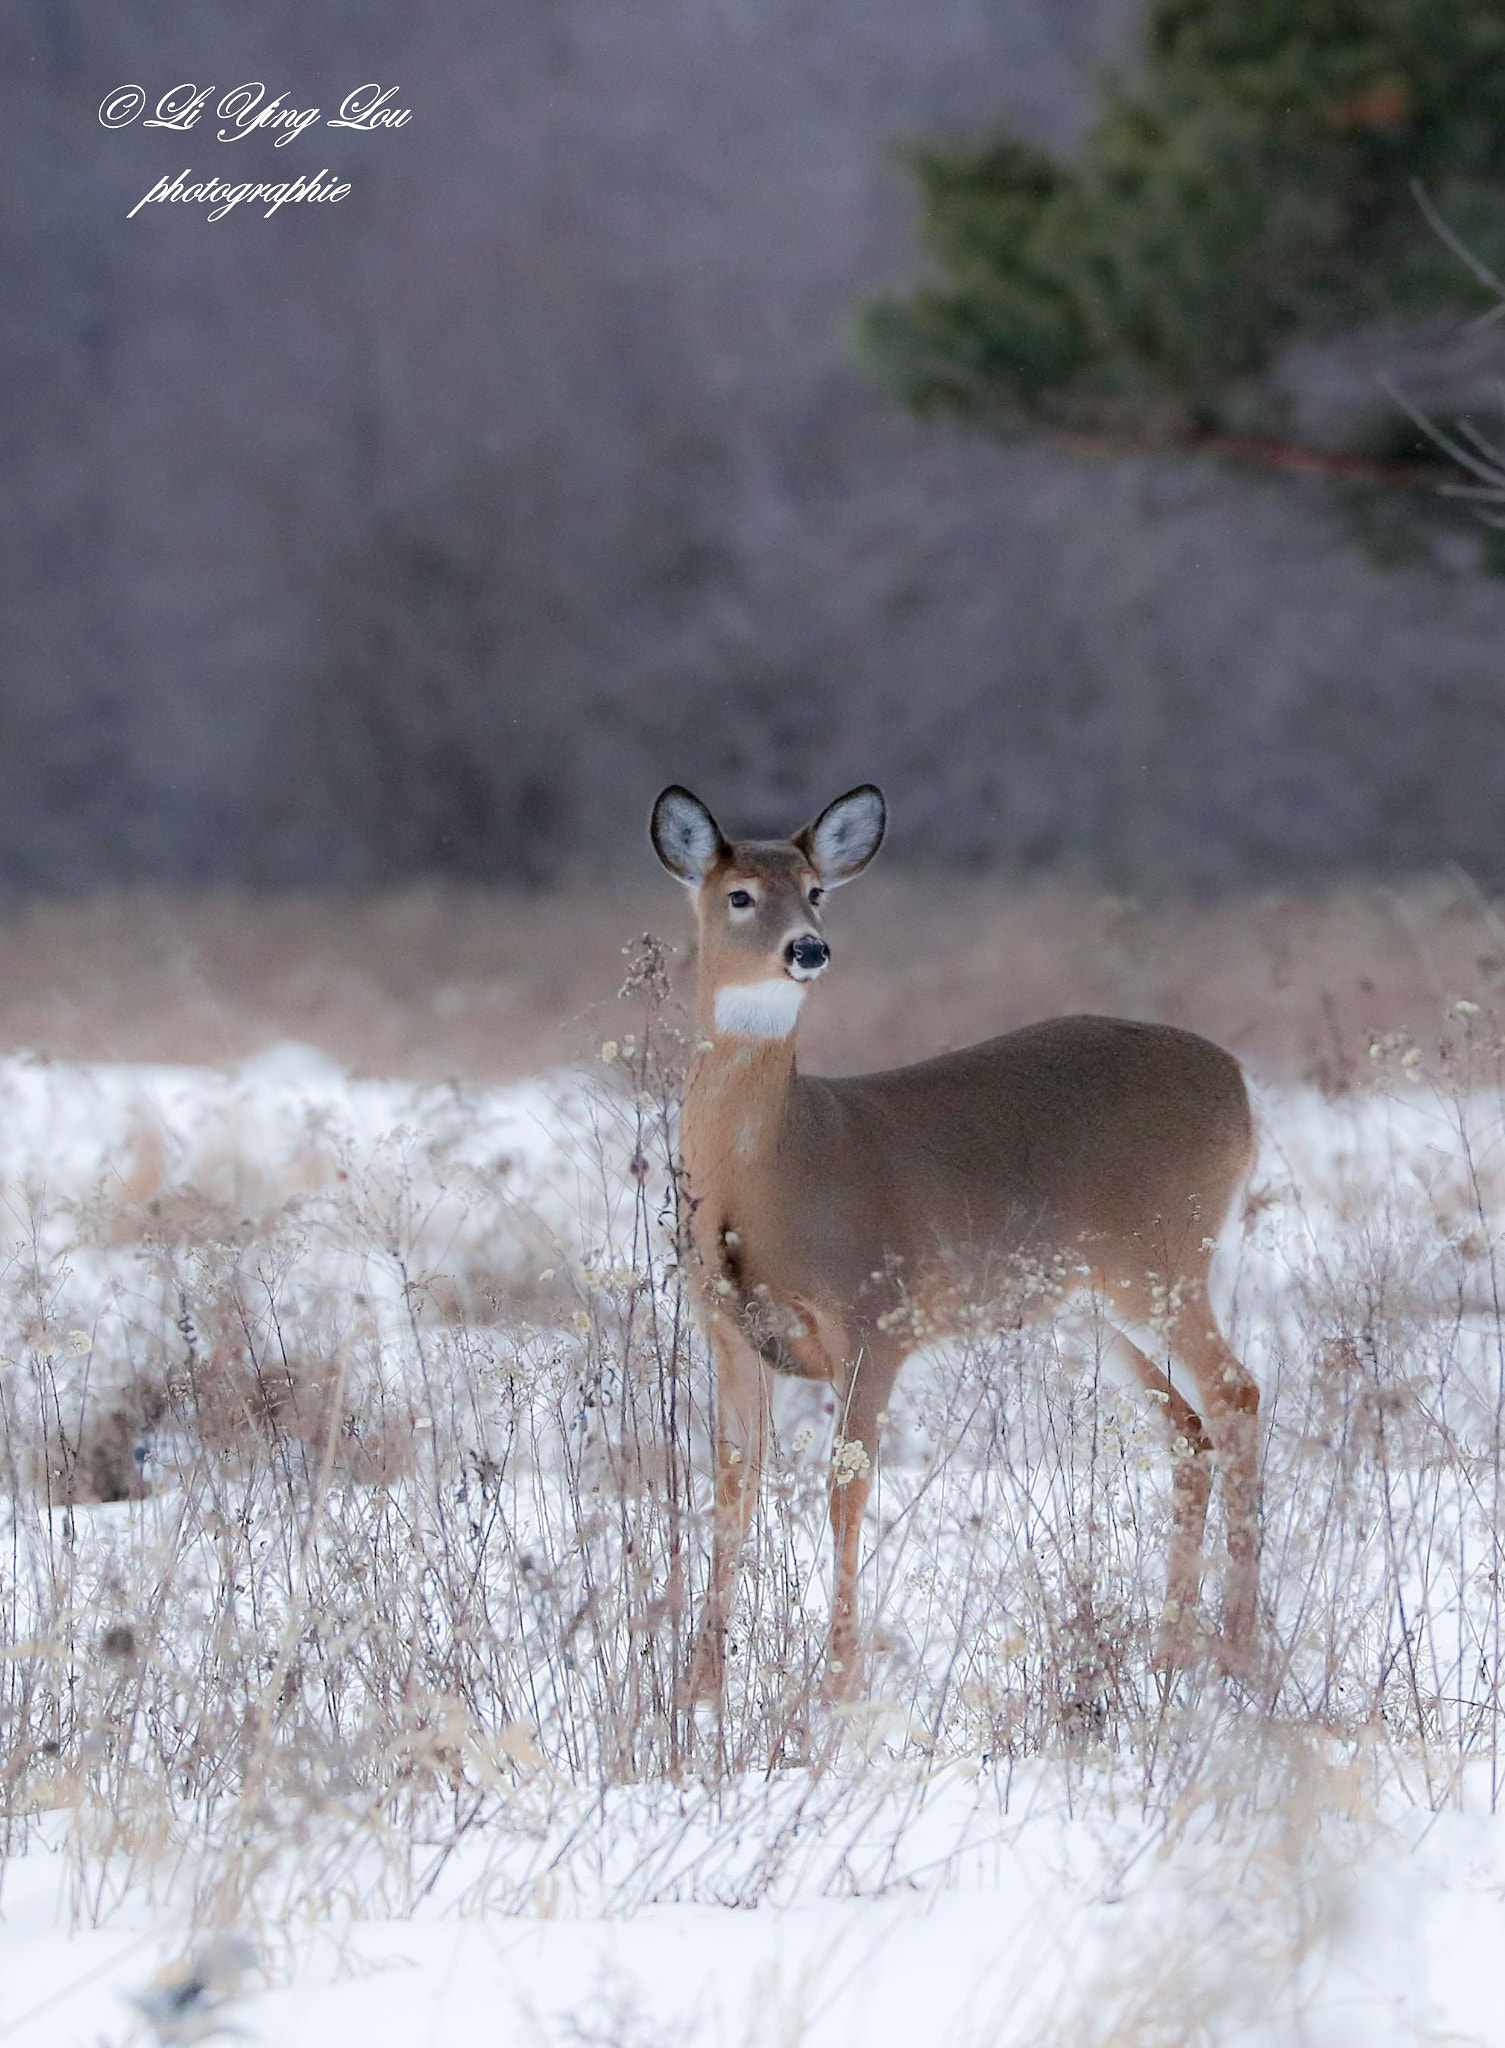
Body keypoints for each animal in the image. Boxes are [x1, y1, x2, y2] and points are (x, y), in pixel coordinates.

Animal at [650, 783, 1261, 1701]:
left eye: (817, 890)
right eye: (740, 895)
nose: (809, 948)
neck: (771, 1172)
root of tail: (1242, 1088)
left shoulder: (874, 1315)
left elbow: (845, 1489)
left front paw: (838, 1683)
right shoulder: (722, 1329)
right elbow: (730, 1486)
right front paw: (700, 1688)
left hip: (1161, 1257)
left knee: (1234, 1396)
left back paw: (1239, 1653)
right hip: (1095, 1303)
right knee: (1188, 1427)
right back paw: (1170, 1654)